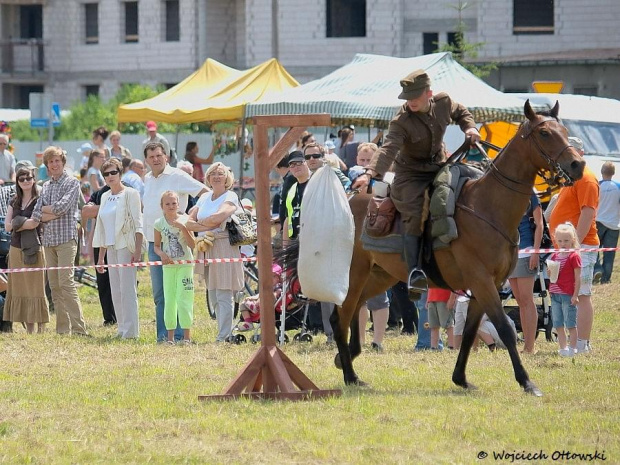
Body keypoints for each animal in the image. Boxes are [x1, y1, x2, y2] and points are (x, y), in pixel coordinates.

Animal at [330, 101, 588, 396]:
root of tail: (348, 201)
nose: (578, 164)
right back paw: (350, 374)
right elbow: (505, 329)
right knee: (340, 317)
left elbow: (468, 332)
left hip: (379, 276)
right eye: (544, 133)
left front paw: (461, 378)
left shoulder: (486, 286)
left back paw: (349, 361)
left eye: (565, 131)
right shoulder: (481, 281)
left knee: (353, 310)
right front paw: (526, 381)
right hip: (355, 274)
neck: (488, 207)